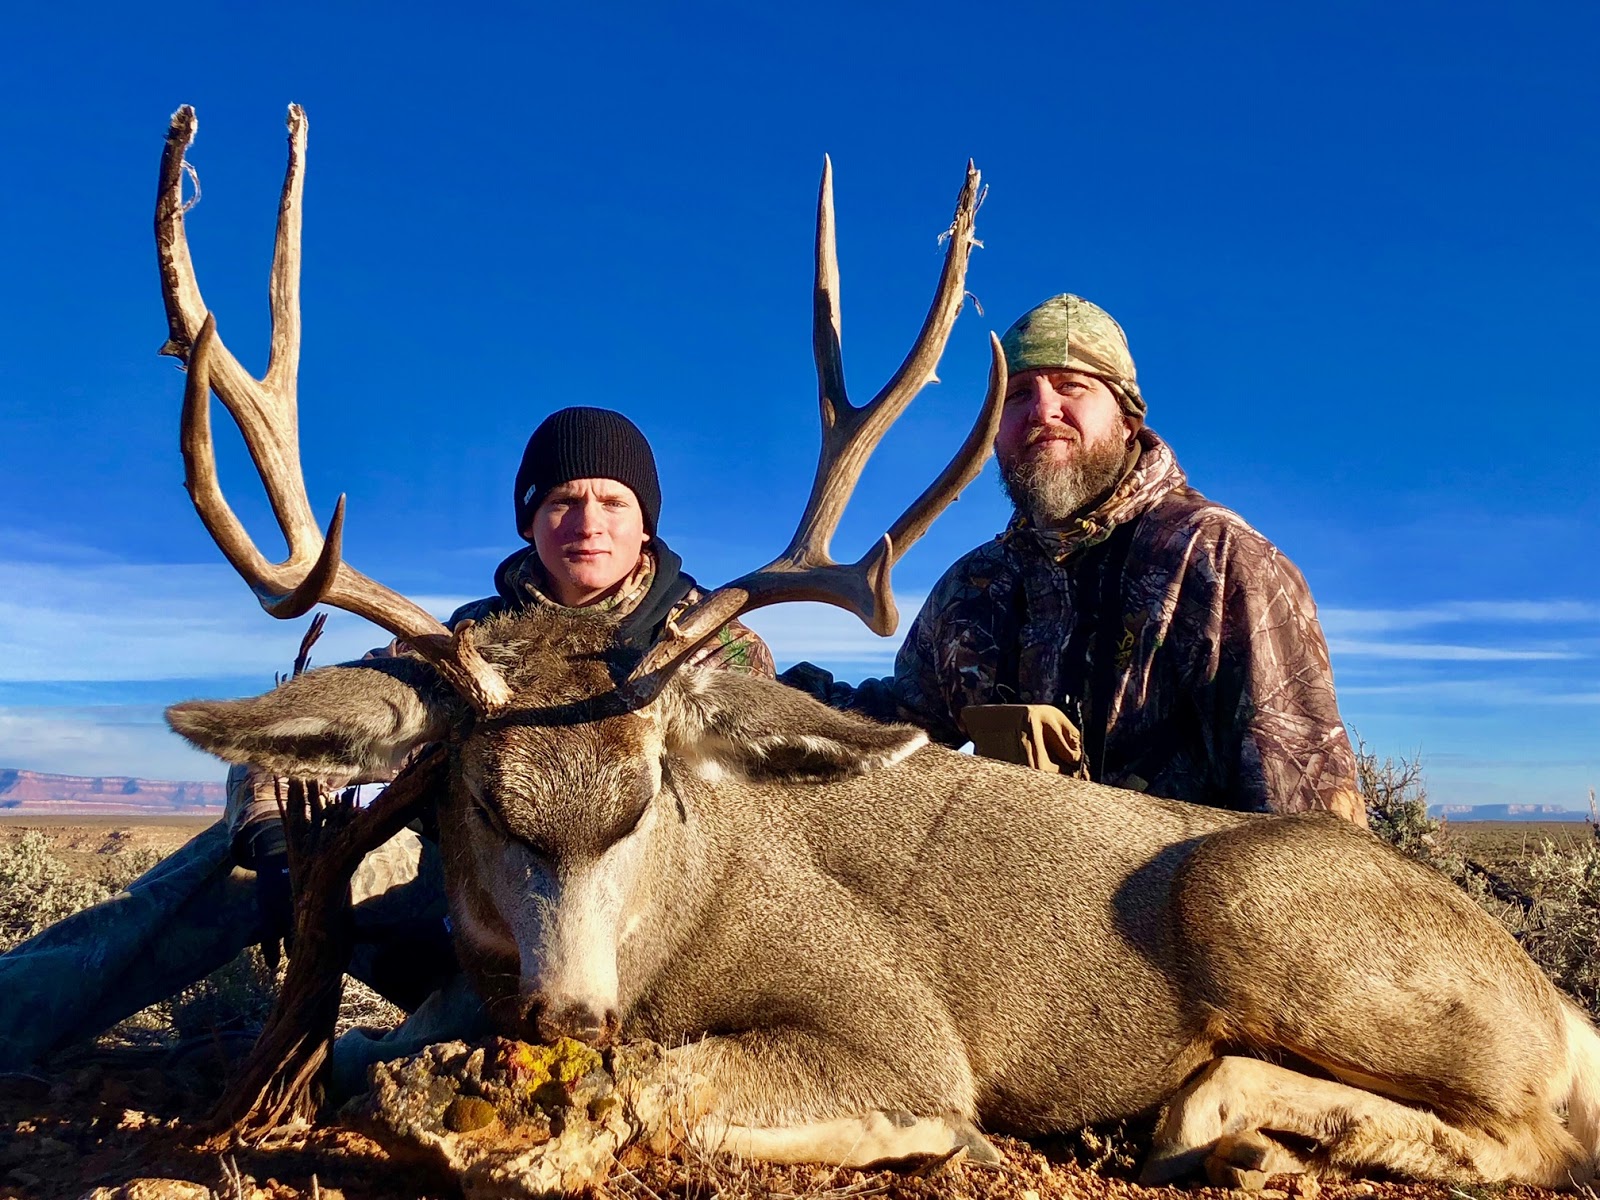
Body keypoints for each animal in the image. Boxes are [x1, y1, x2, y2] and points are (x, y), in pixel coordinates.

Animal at [155, 105, 1600, 1186]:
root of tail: (1562, 1008)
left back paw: (1225, 1126)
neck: (685, 908)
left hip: (1255, 909)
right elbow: (367, 1055)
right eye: (476, 800)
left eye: (647, 799)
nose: (569, 1014)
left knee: (1521, 1137)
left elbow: (682, 1082)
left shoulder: (894, 1022)